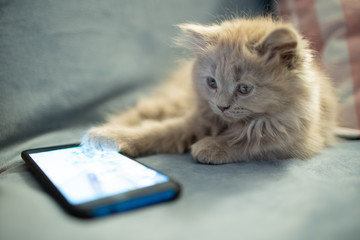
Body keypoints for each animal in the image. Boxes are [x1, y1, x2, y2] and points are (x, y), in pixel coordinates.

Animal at [81, 15, 338, 164]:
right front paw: (113, 136)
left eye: (244, 89)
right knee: (142, 112)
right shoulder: (196, 119)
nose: (222, 106)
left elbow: (253, 142)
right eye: (212, 83)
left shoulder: (296, 137)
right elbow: (158, 131)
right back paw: (100, 130)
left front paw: (211, 146)